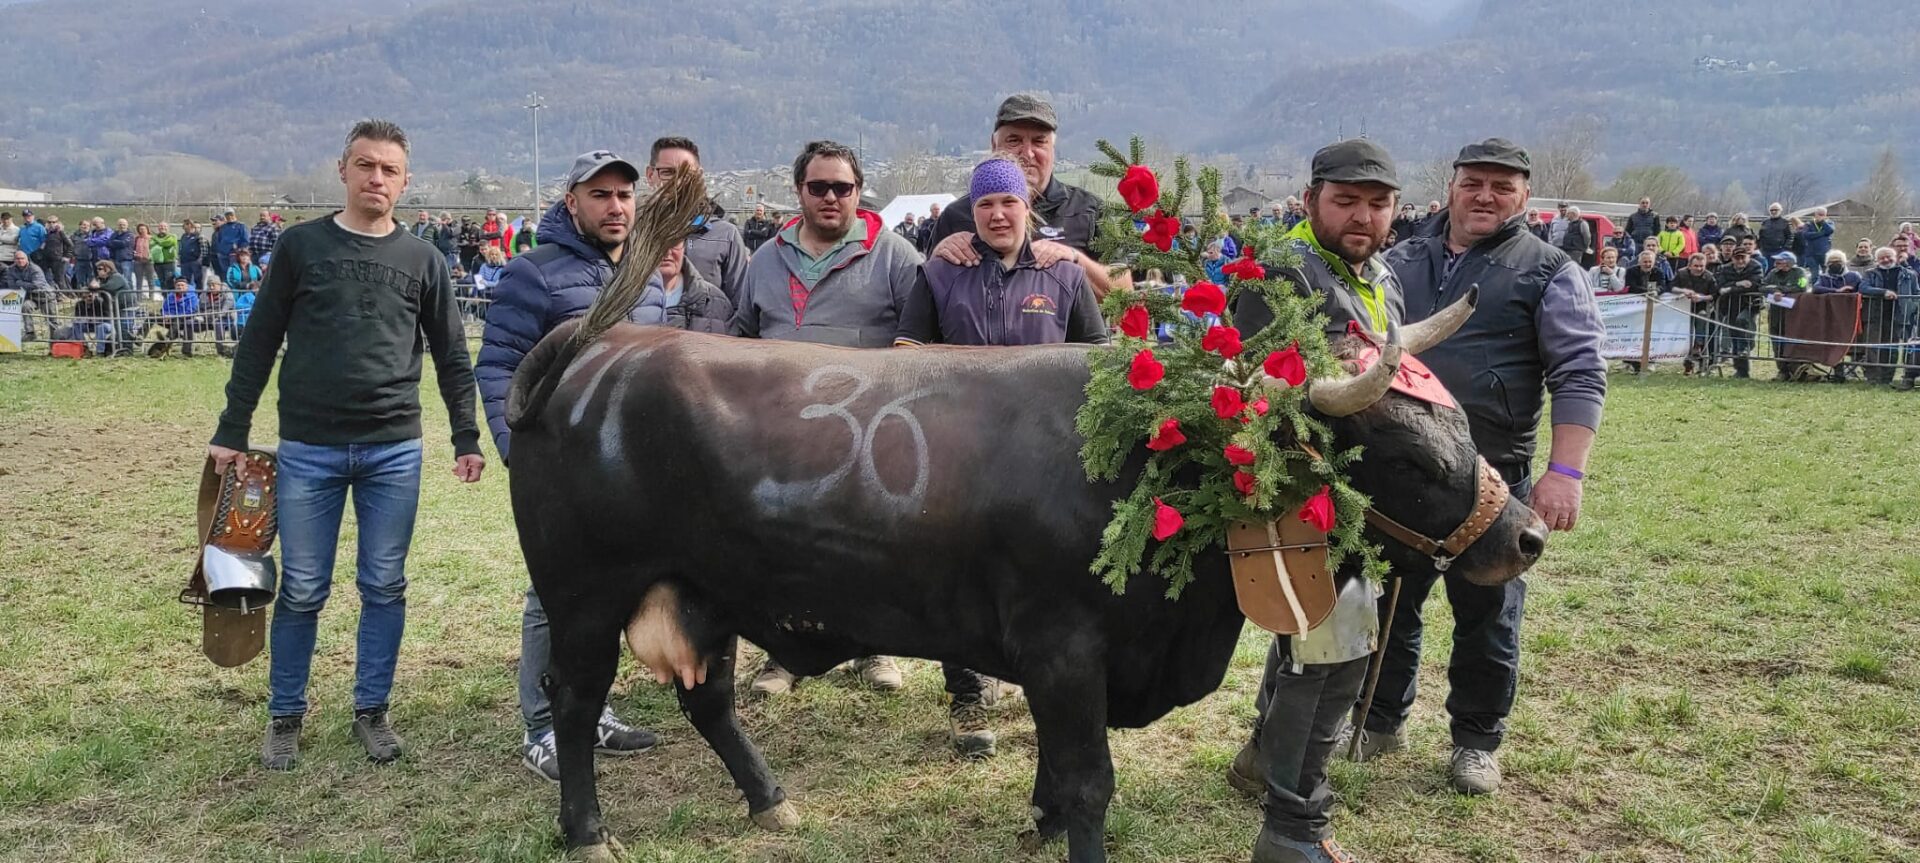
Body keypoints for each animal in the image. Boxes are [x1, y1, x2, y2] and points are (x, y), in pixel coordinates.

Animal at [506, 295, 1543, 861]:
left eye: (1460, 425)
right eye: (1405, 455)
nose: (1527, 535)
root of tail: (594, 350)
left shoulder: (1069, 660)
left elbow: (1058, 763)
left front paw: (1037, 819)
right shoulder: (1064, 645)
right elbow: (1089, 779)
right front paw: (1067, 829)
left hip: (709, 590)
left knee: (711, 698)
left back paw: (771, 800)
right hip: (585, 592)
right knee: (575, 698)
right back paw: (586, 828)